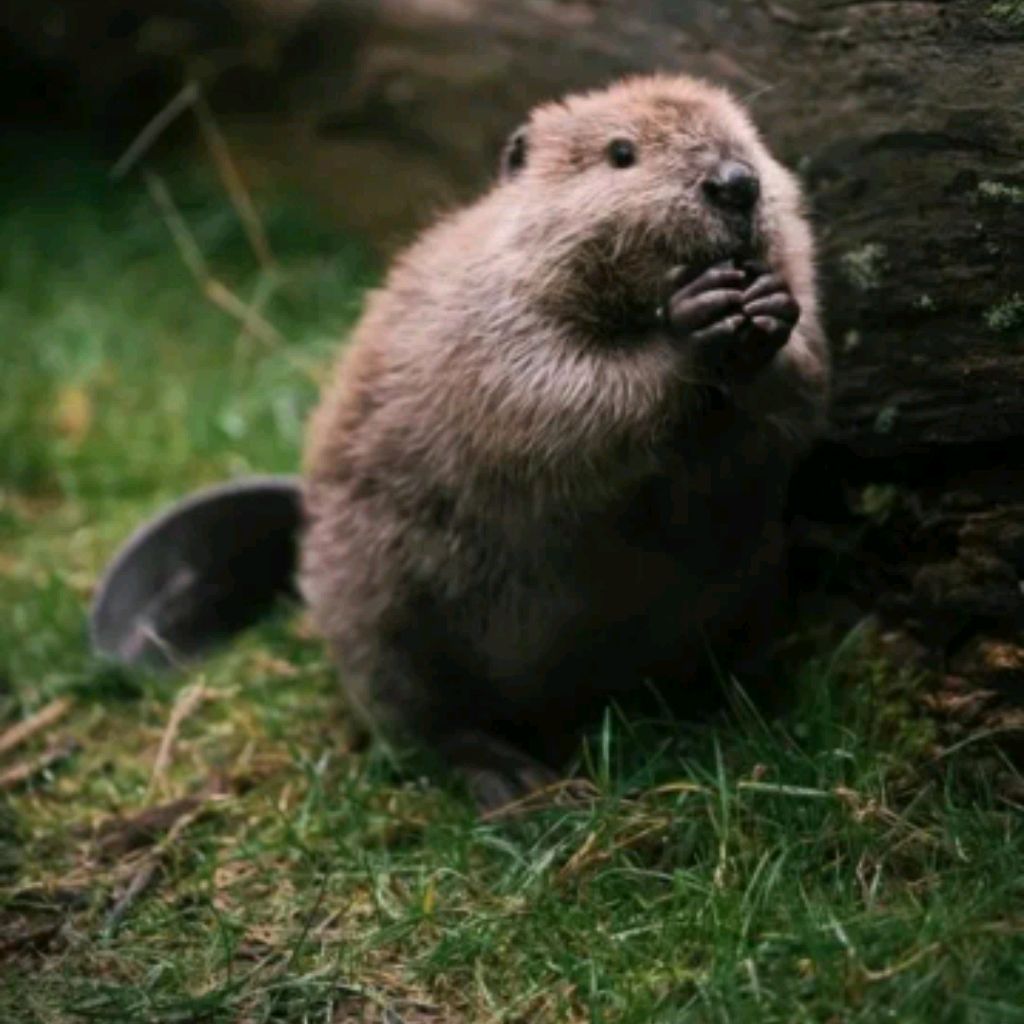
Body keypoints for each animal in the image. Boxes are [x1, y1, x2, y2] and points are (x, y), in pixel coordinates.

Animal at [299, 74, 827, 806]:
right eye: (621, 152)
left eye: (749, 139)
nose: (735, 181)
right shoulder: (484, 319)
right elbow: (547, 402)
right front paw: (696, 320)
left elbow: (796, 401)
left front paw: (769, 310)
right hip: (373, 598)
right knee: (417, 719)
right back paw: (509, 777)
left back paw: (744, 709)